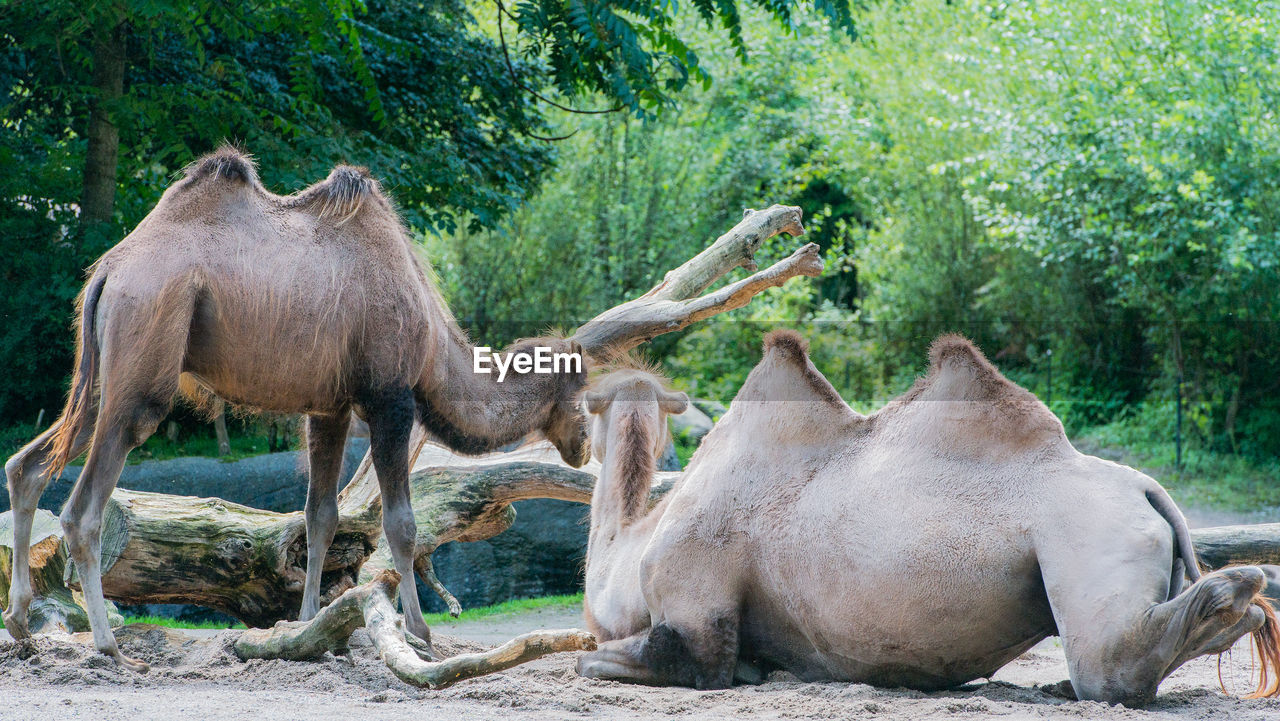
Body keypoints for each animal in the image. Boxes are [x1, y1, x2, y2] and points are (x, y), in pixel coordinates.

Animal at [0, 146, 588, 671]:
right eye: (582, 391)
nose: (583, 445)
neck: (431, 346)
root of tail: (108, 271)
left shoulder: (328, 407)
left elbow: (319, 516)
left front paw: (309, 630)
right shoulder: (389, 397)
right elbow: (401, 523)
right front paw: (420, 635)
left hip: (103, 372)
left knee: (27, 465)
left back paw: (23, 625)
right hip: (144, 354)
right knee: (83, 510)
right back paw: (109, 648)